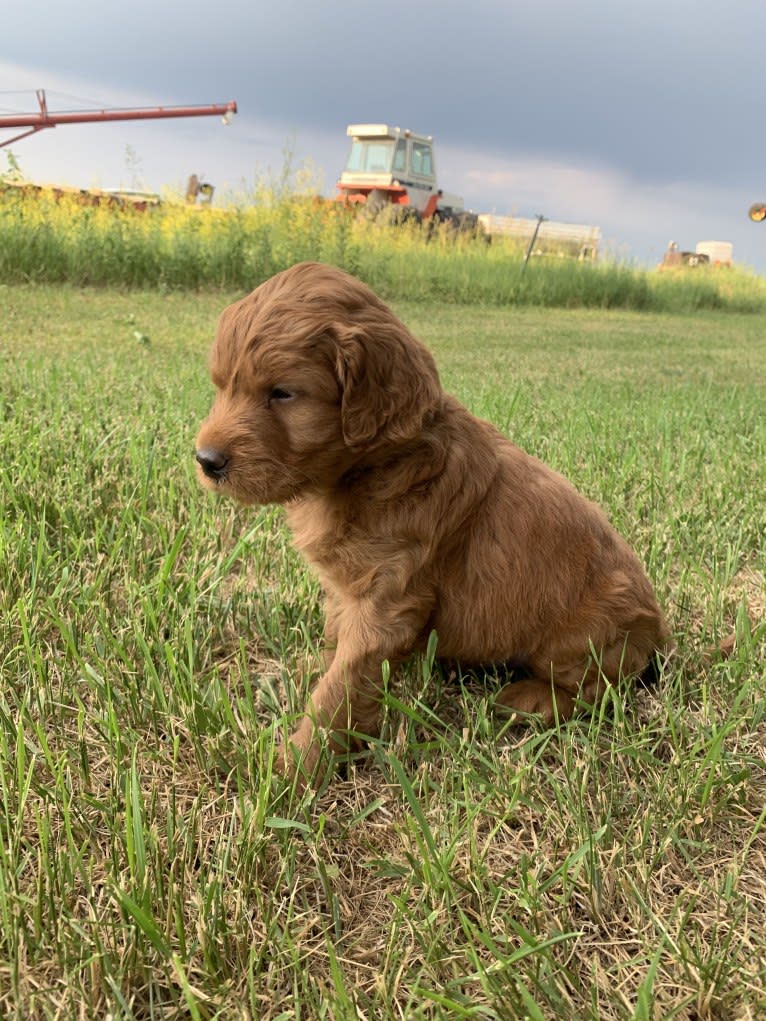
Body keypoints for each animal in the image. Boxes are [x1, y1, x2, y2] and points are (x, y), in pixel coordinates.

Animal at [198, 261, 669, 780]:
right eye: (220, 386)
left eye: (282, 393)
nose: (206, 460)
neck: (368, 468)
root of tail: (659, 635)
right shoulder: (349, 588)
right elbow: (335, 644)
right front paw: (309, 671)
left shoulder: (389, 598)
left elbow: (341, 688)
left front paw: (296, 766)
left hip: (581, 636)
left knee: (597, 695)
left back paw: (531, 701)